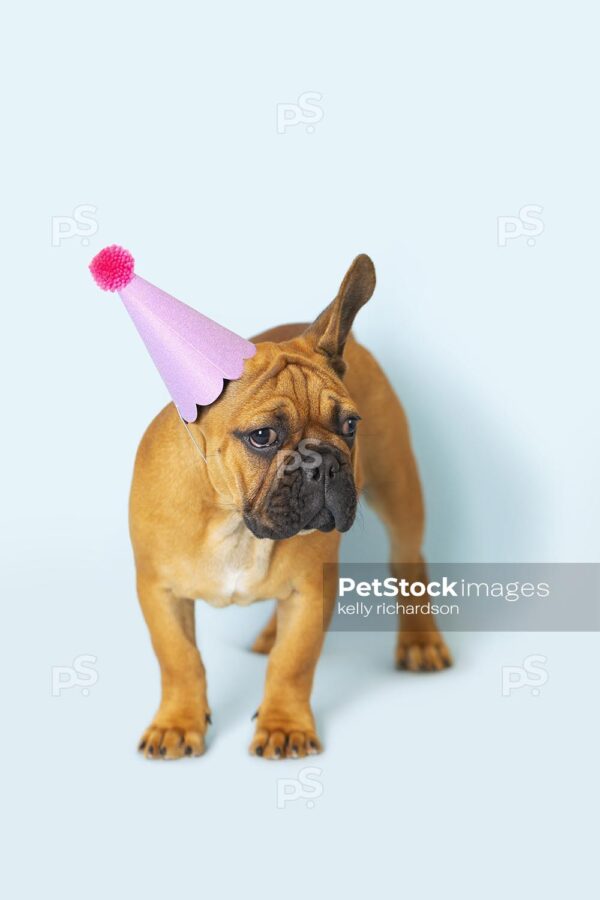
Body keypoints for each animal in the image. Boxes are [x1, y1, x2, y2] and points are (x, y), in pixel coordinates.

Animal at [131, 253, 450, 760]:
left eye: (351, 425)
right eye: (262, 436)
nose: (324, 461)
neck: (236, 525)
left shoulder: (310, 592)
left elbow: (292, 662)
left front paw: (284, 726)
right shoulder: (159, 591)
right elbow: (179, 659)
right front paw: (177, 724)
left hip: (400, 490)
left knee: (409, 560)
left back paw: (420, 642)